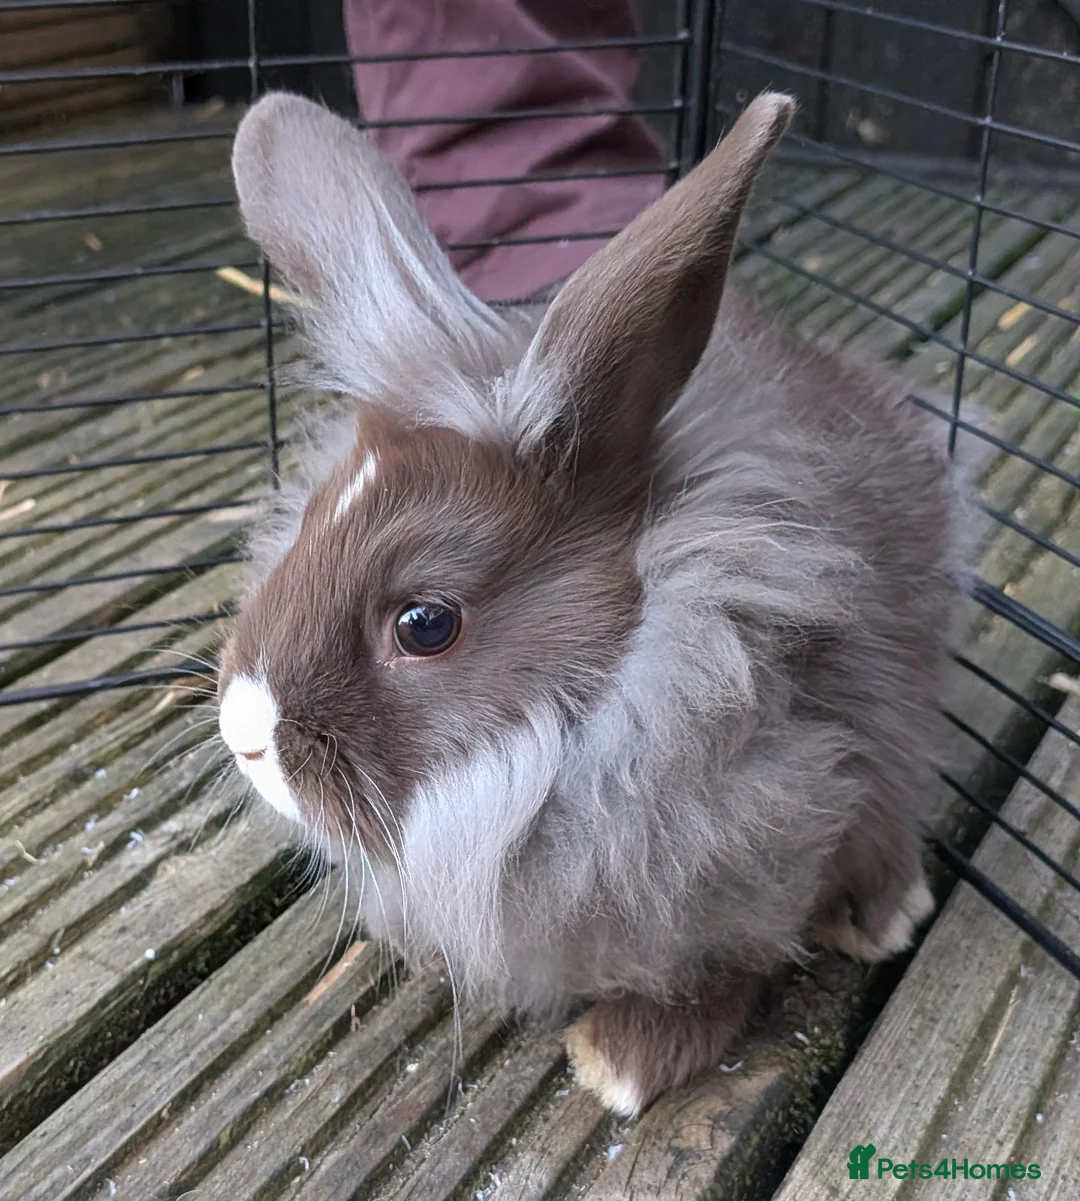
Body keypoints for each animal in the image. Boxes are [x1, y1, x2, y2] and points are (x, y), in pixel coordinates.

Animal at [216, 89, 963, 1117]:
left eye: (426, 624)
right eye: (309, 526)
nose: (245, 733)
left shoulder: (769, 839)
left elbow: (716, 968)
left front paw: (617, 1065)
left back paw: (884, 917)